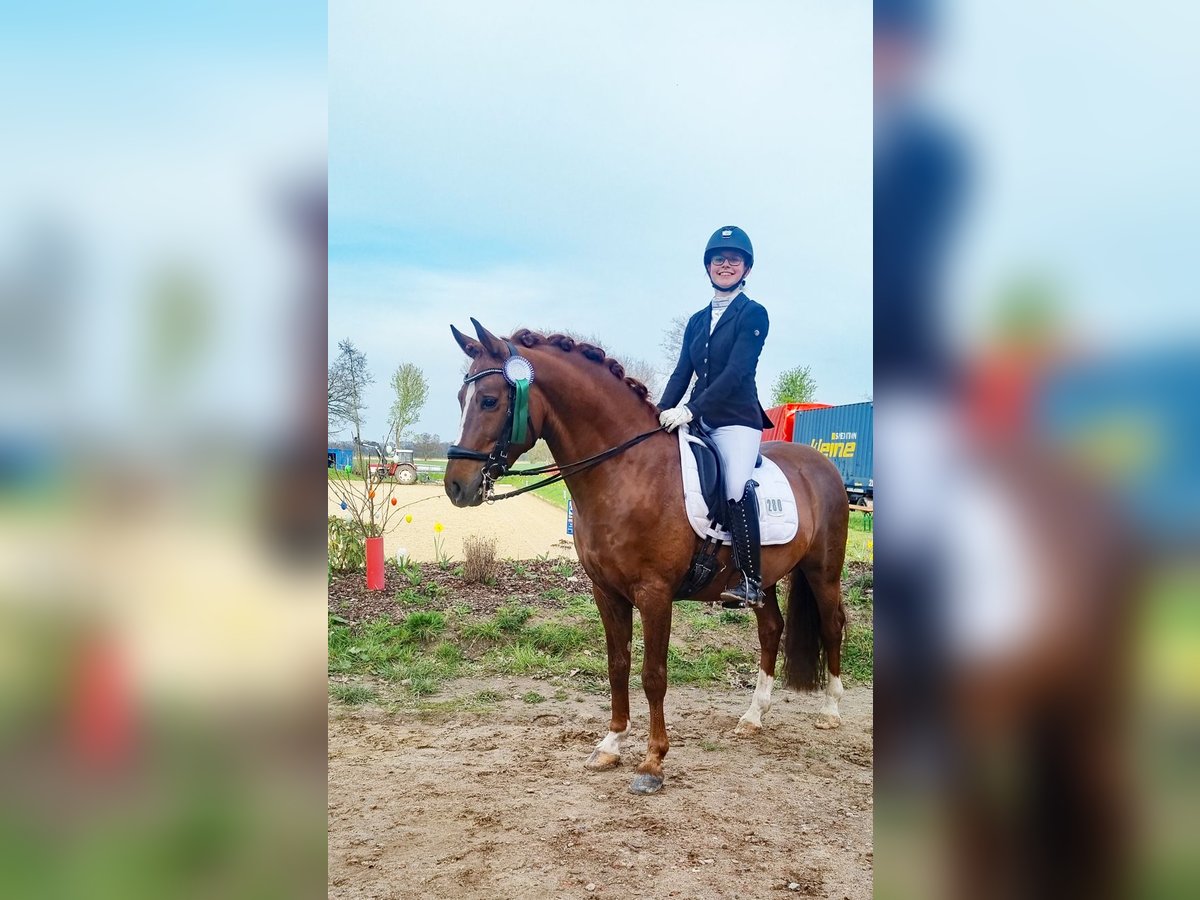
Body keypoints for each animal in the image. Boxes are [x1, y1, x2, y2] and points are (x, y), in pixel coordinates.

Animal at [446, 319, 849, 796]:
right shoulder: (606, 592)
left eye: (489, 400)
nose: (456, 486)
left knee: (832, 625)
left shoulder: (654, 594)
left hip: (823, 571)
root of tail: (819, 463)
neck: (626, 470)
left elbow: (653, 675)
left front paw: (653, 763)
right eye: (462, 399)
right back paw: (753, 717)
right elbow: (617, 665)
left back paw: (830, 711)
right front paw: (611, 745)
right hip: (762, 579)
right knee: (771, 630)